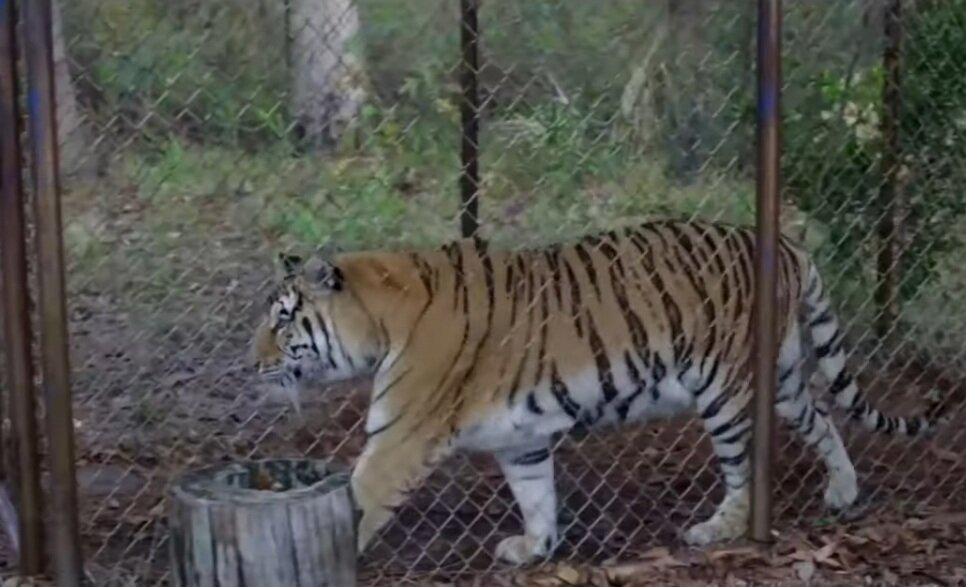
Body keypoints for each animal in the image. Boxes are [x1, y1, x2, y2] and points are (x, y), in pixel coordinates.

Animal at [251, 218, 944, 565]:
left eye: (283, 319)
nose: (252, 361)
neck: (380, 318)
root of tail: (787, 243)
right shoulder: (521, 438)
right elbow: (536, 495)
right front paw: (534, 548)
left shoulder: (401, 434)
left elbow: (358, 501)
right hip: (782, 377)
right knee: (822, 417)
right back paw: (843, 491)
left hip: (727, 389)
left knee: (747, 470)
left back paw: (719, 530)